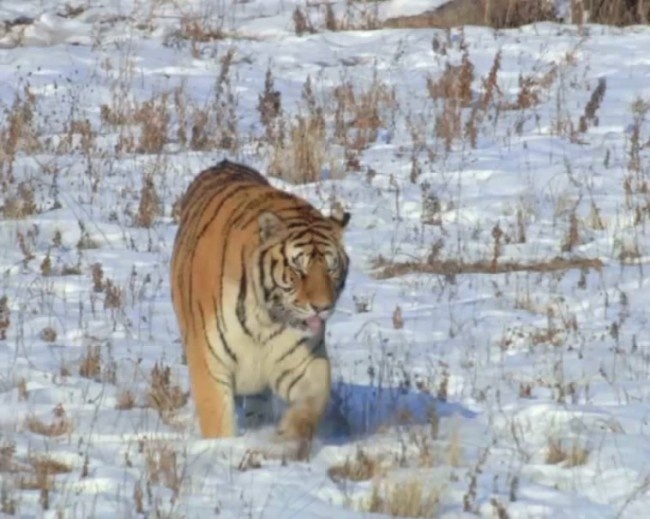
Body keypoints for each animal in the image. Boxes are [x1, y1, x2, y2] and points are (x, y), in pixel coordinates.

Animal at [170, 159, 346, 450]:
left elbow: (312, 403)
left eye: (331, 269)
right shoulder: (209, 363)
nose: (322, 307)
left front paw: (286, 440)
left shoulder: (304, 362)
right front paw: (221, 450)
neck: (265, 318)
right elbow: (218, 422)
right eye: (298, 269)